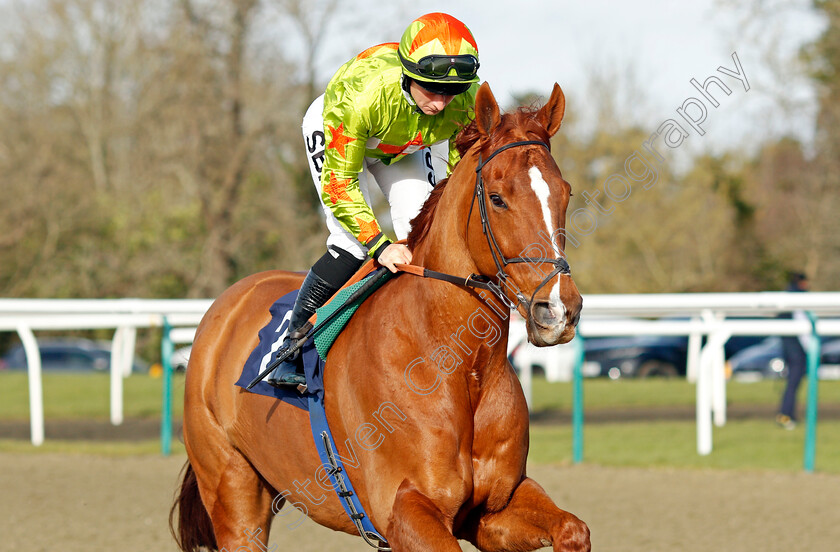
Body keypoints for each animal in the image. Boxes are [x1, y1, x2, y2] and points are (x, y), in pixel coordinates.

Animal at [172, 82, 592, 552]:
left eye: (565, 193)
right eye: (498, 198)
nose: (558, 309)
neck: (458, 365)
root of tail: (224, 305)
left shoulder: (493, 510)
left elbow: (573, 529)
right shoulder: (405, 510)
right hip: (234, 496)